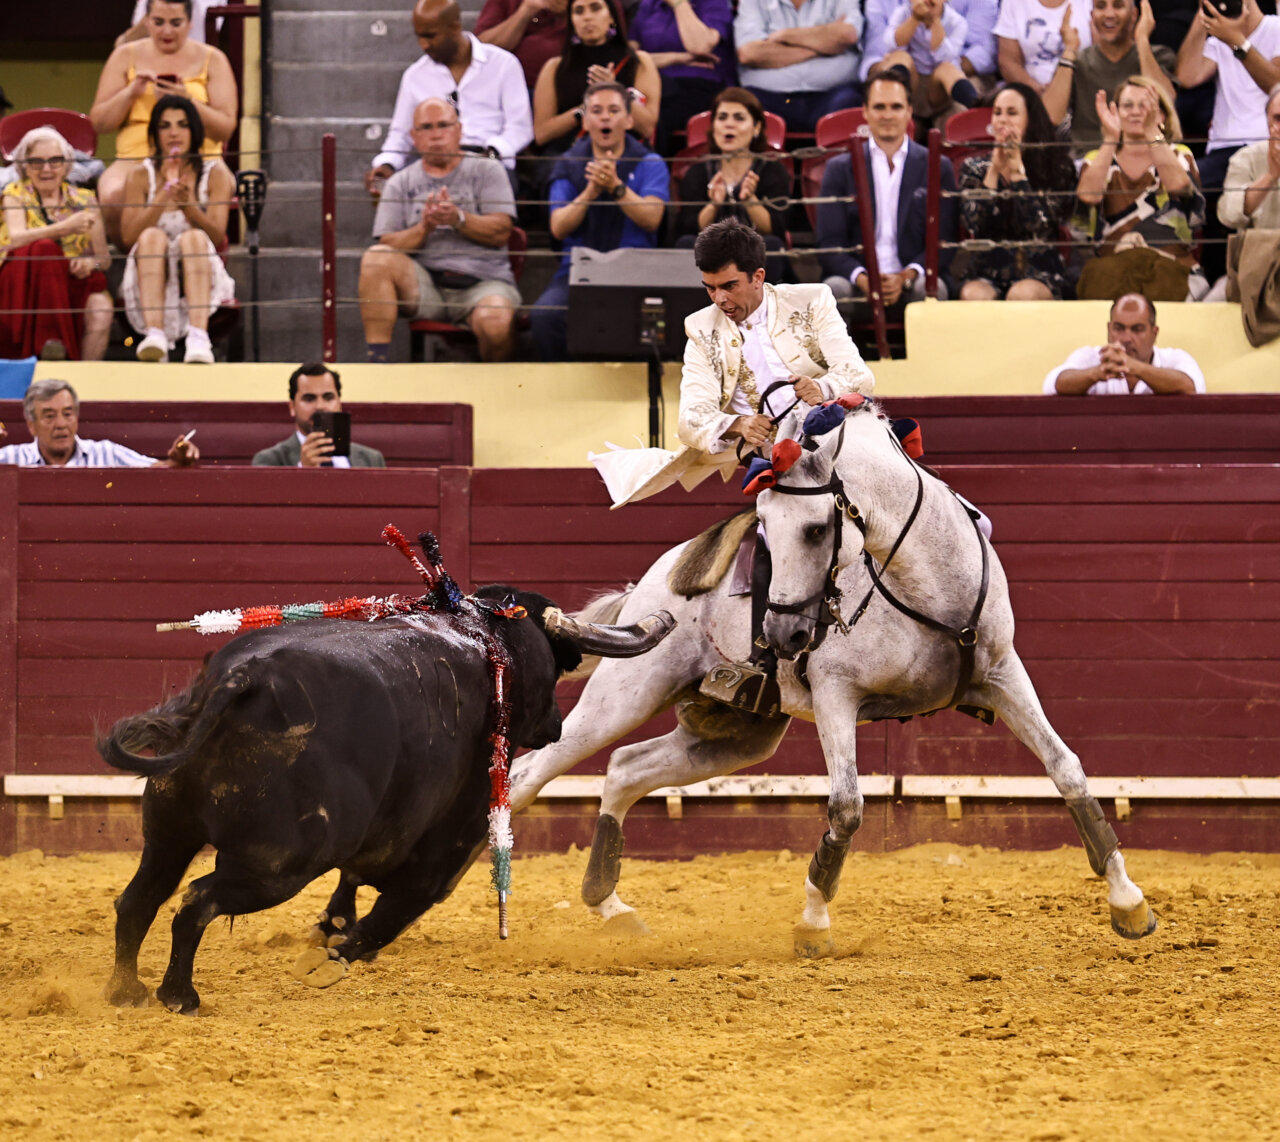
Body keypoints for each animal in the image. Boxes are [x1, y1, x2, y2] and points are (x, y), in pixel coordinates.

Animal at [99, 586, 675, 1014]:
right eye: (556, 666)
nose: (556, 724)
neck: (487, 638)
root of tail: (241, 679)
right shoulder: (447, 847)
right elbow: (392, 911)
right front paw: (328, 961)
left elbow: (351, 888)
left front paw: (328, 935)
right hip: (279, 864)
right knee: (196, 902)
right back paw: (179, 996)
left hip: (169, 834)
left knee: (138, 900)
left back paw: (127, 991)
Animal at [508, 398, 1158, 954]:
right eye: (763, 525)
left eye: (818, 529)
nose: (783, 635)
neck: (923, 581)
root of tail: (657, 577)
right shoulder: (835, 695)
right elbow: (846, 805)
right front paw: (813, 924)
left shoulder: (1003, 673)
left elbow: (1068, 769)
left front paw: (1129, 903)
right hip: (624, 697)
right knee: (530, 773)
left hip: (738, 734)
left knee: (625, 769)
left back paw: (612, 908)